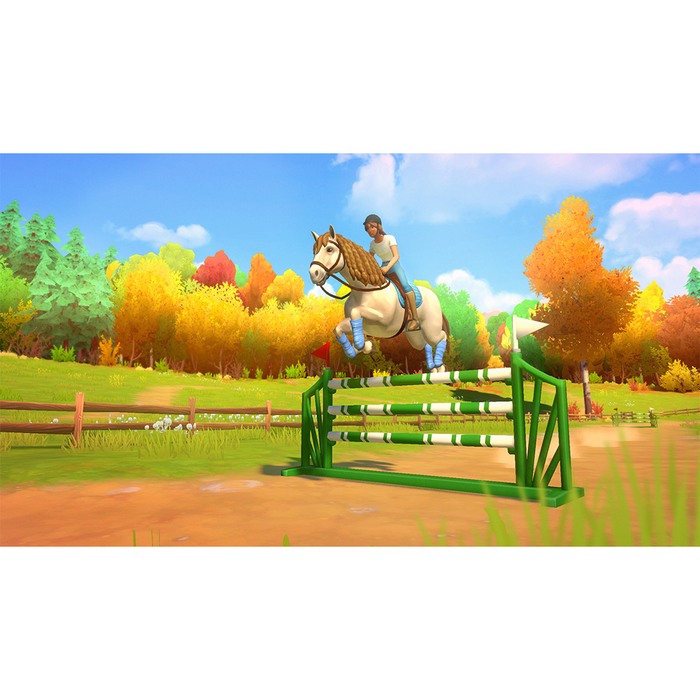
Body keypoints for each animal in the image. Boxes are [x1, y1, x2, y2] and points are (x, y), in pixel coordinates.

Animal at [309, 225, 450, 373]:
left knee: (441, 337)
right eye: (314, 251)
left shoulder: (383, 319)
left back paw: (441, 367)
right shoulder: (356, 323)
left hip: (430, 329)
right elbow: (339, 329)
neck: (365, 291)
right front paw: (364, 348)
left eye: (329, 249)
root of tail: (434, 297)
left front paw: (363, 345)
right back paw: (433, 369)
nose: (313, 274)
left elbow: (356, 312)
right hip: (414, 336)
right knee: (424, 345)